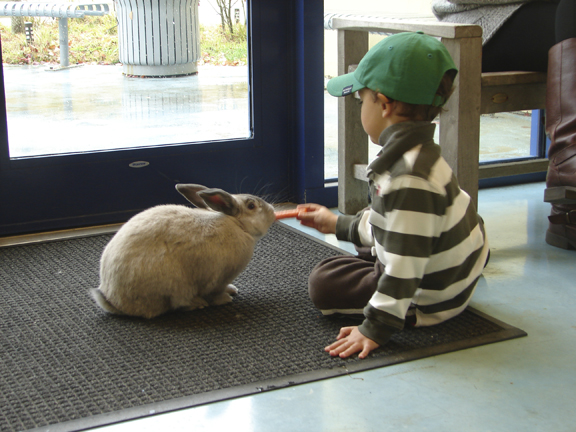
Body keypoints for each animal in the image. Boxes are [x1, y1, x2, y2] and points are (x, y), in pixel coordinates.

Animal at [91, 184, 276, 318]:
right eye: (251, 206)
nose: (273, 211)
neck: (238, 225)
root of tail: (114, 302)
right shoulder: (218, 278)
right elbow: (214, 293)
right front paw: (225, 299)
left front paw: (232, 289)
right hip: (175, 286)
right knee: (179, 303)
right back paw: (197, 303)